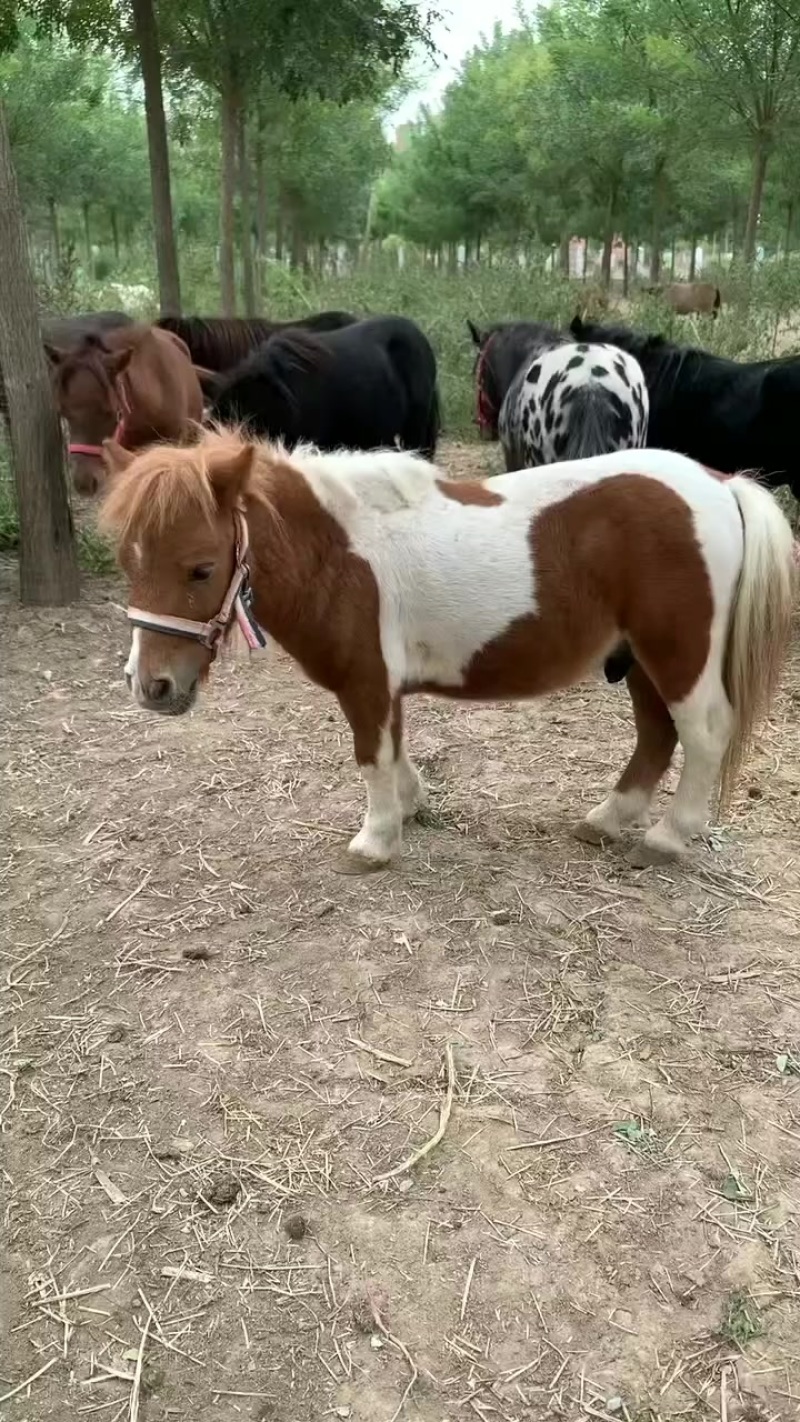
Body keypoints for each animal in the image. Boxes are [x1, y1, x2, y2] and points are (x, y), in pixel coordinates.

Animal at [99, 430, 795, 874]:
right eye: (128, 561)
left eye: (201, 568)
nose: (151, 686)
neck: (339, 552)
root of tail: (718, 483)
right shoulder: (384, 687)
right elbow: (395, 748)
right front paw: (411, 808)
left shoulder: (365, 682)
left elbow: (372, 755)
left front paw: (376, 841)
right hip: (643, 659)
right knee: (656, 734)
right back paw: (605, 820)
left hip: (678, 653)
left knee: (702, 732)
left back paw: (668, 838)